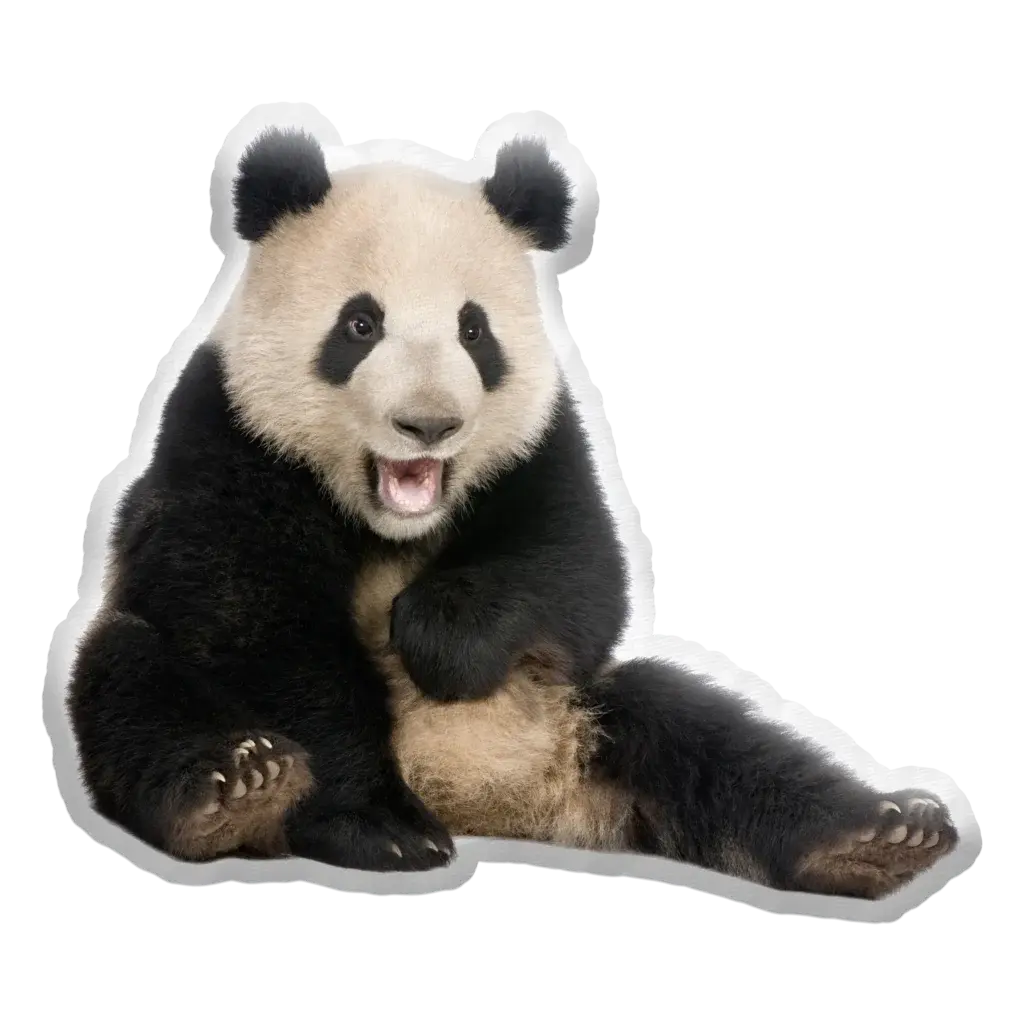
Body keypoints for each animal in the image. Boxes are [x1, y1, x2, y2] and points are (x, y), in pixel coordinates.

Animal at [68, 126, 959, 897]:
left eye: (475, 332)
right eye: (360, 324)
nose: (429, 424)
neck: (391, 521)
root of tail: (484, 801)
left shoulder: (543, 441)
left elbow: (578, 573)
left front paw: (434, 634)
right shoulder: (228, 435)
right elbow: (252, 620)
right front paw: (380, 829)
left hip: (577, 714)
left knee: (701, 732)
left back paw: (875, 837)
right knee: (129, 678)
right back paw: (239, 790)